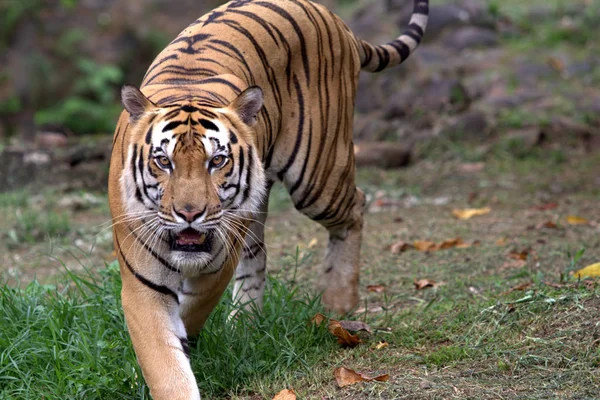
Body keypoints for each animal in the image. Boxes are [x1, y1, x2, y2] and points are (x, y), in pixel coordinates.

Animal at [108, 1, 426, 398]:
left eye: (217, 161)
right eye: (163, 161)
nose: (189, 214)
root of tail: (336, 20)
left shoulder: (215, 266)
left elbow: (190, 313)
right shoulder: (143, 285)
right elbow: (164, 360)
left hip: (317, 175)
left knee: (356, 206)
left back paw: (339, 300)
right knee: (257, 255)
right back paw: (245, 323)